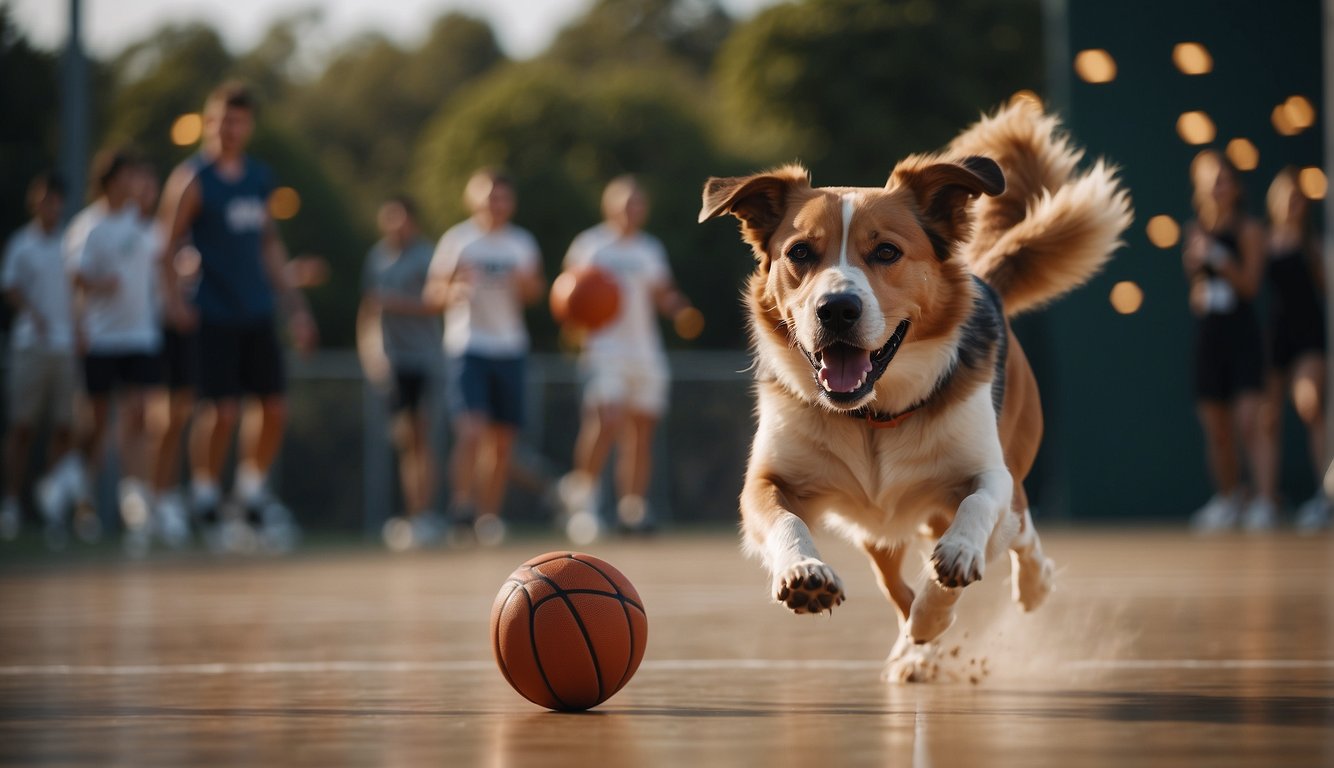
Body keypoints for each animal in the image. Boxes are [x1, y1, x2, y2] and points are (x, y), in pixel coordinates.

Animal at [704, 100, 1131, 677]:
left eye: (886, 252)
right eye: (800, 253)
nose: (836, 309)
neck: (874, 416)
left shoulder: (987, 474)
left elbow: (975, 512)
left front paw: (952, 575)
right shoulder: (768, 481)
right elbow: (783, 520)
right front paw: (805, 572)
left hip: (1012, 468)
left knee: (1019, 530)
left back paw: (1028, 587)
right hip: (877, 531)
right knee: (894, 585)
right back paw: (914, 648)